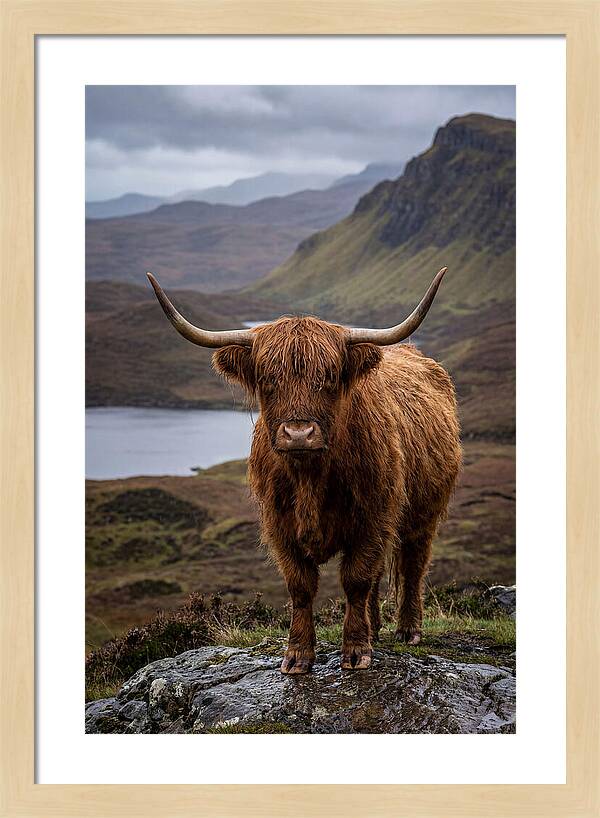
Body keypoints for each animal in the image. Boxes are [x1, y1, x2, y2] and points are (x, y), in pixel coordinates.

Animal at [147, 268, 461, 674]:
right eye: (267, 379)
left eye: (329, 377)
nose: (298, 433)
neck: (310, 477)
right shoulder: (280, 525)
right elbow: (301, 586)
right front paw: (298, 655)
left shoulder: (373, 518)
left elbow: (356, 579)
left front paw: (356, 651)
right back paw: (376, 629)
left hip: (424, 514)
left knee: (412, 565)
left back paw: (408, 630)